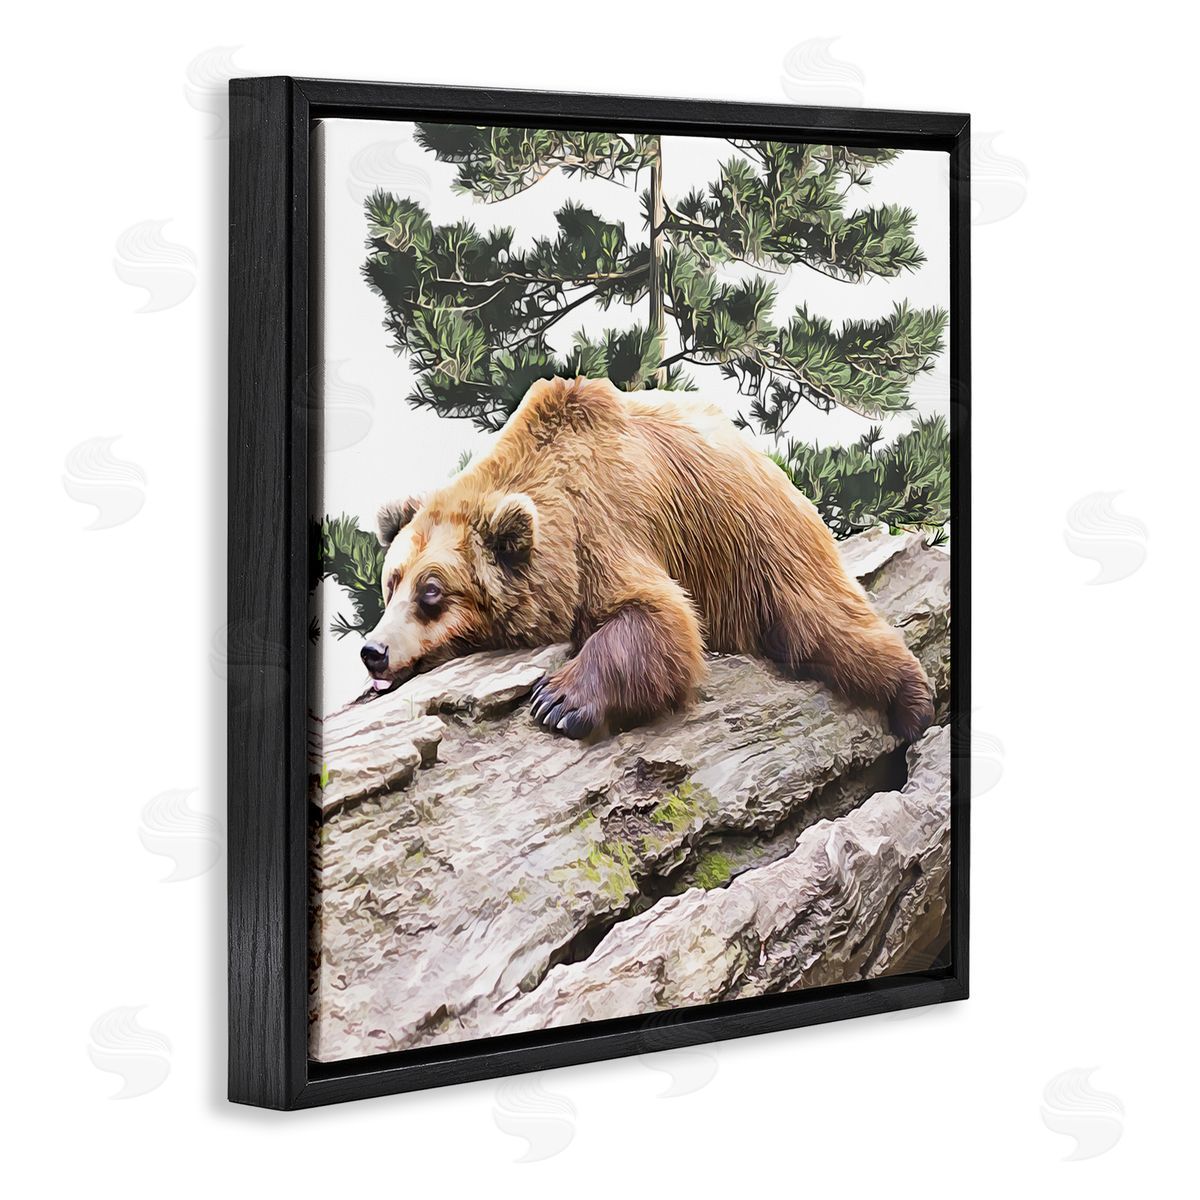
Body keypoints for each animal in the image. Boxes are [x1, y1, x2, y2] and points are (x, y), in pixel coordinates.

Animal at [361, 375, 933, 742]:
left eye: (432, 592)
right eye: (392, 582)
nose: (374, 651)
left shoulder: (605, 523)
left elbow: (660, 618)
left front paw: (557, 701)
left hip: (759, 539)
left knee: (826, 623)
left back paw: (914, 702)